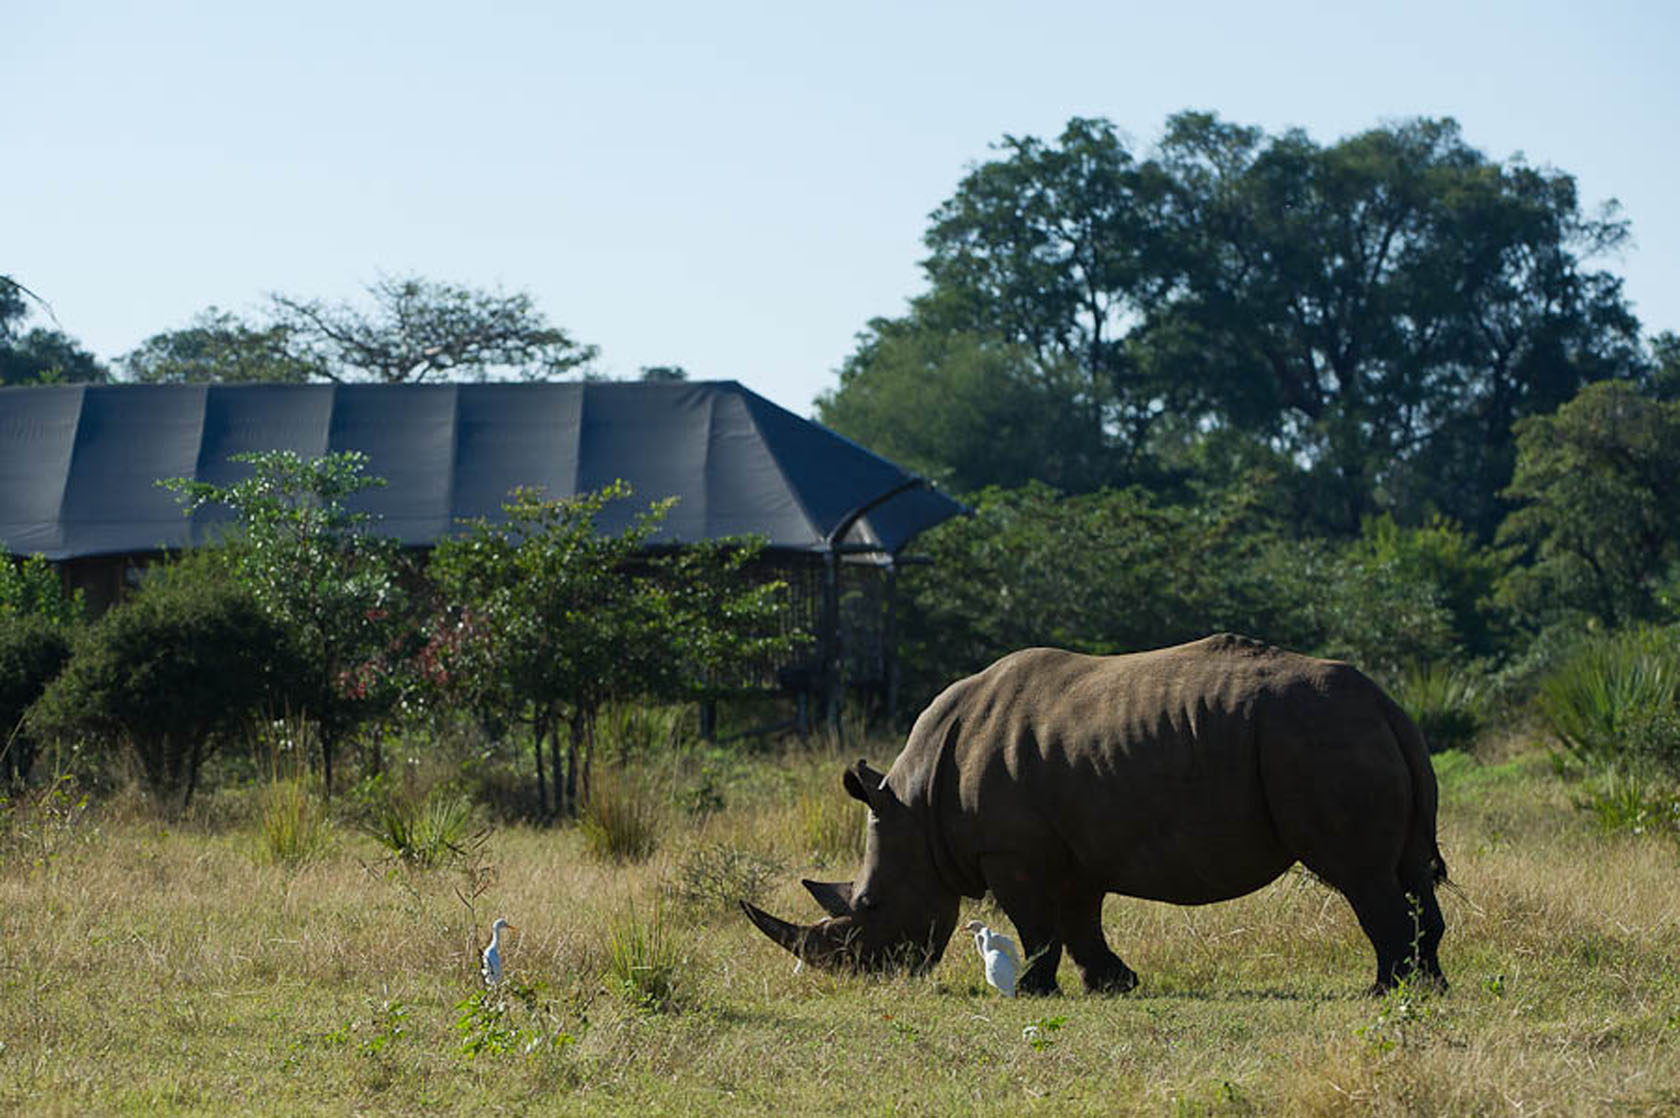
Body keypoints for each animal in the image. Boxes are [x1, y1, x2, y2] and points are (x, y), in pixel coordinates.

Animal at [742, 634, 1448, 995]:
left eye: (868, 906)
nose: (870, 979)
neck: (915, 810)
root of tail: (1385, 703)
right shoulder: (1072, 849)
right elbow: (1079, 921)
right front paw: (1115, 984)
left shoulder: (1013, 852)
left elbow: (1037, 924)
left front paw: (1035, 991)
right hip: (1350, 733)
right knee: (1409, 872)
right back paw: (1429, 988)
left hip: (1318, 739)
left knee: (1360, 876)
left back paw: (1386, 992)